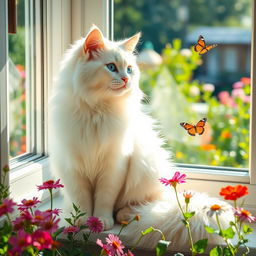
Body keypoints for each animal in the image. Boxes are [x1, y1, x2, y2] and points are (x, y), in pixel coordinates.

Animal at [49, 26, 232, 250]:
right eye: (111, 67)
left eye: (129, 69)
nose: (126, 79)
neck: (97, 110)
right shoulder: (73, 165)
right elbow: (82, 200)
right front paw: (83, 220)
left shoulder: (114, 165)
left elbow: (104, 198)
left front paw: (101, 221)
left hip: (146, 170)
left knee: (140, 206)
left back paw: (126, 215)